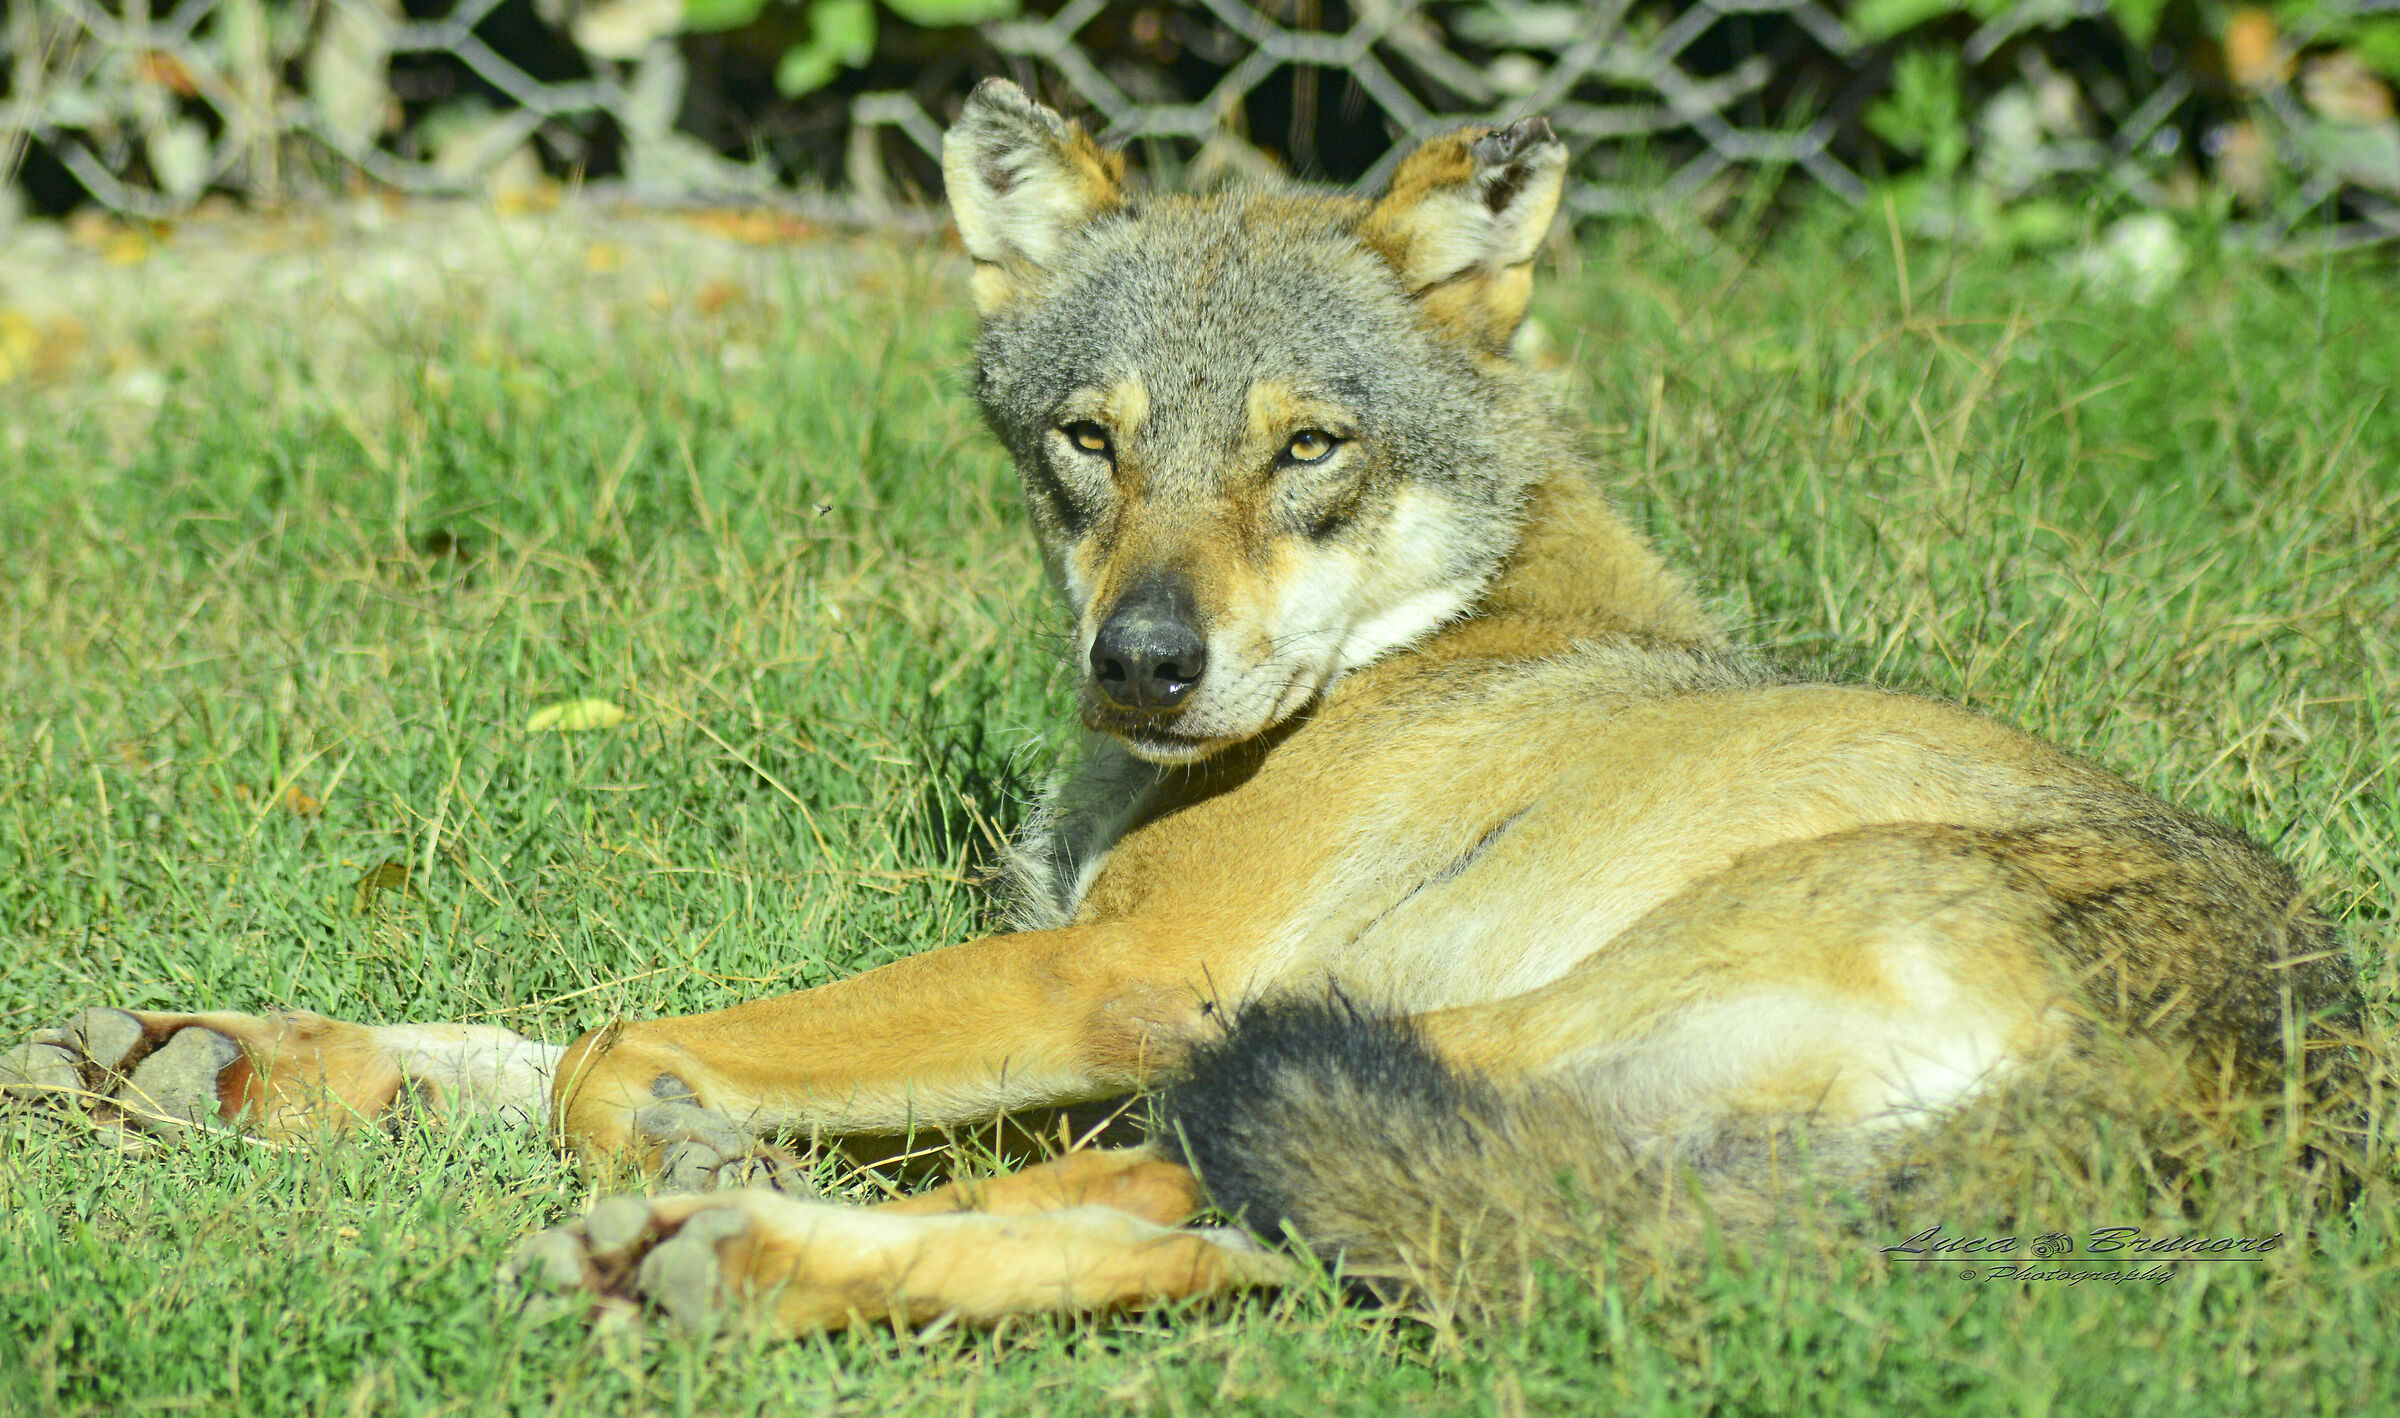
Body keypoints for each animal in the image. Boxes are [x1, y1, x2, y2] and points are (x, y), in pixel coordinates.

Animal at [3, 80, 2357, 1332]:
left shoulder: (1118, 976)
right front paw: (226, 1056)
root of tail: (2258, 1132)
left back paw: (691, 1234)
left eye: (1307, 447)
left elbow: (606, 1040)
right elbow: (517, 1031)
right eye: (1090, 443)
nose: (1144, 663)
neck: (1430, 631)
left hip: (1402, 1037)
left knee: (1130, 1197)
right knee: (1183, 1237)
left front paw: (652, 1119)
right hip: (1408, 1139)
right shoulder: (1094, 984)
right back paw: (696, 1256)